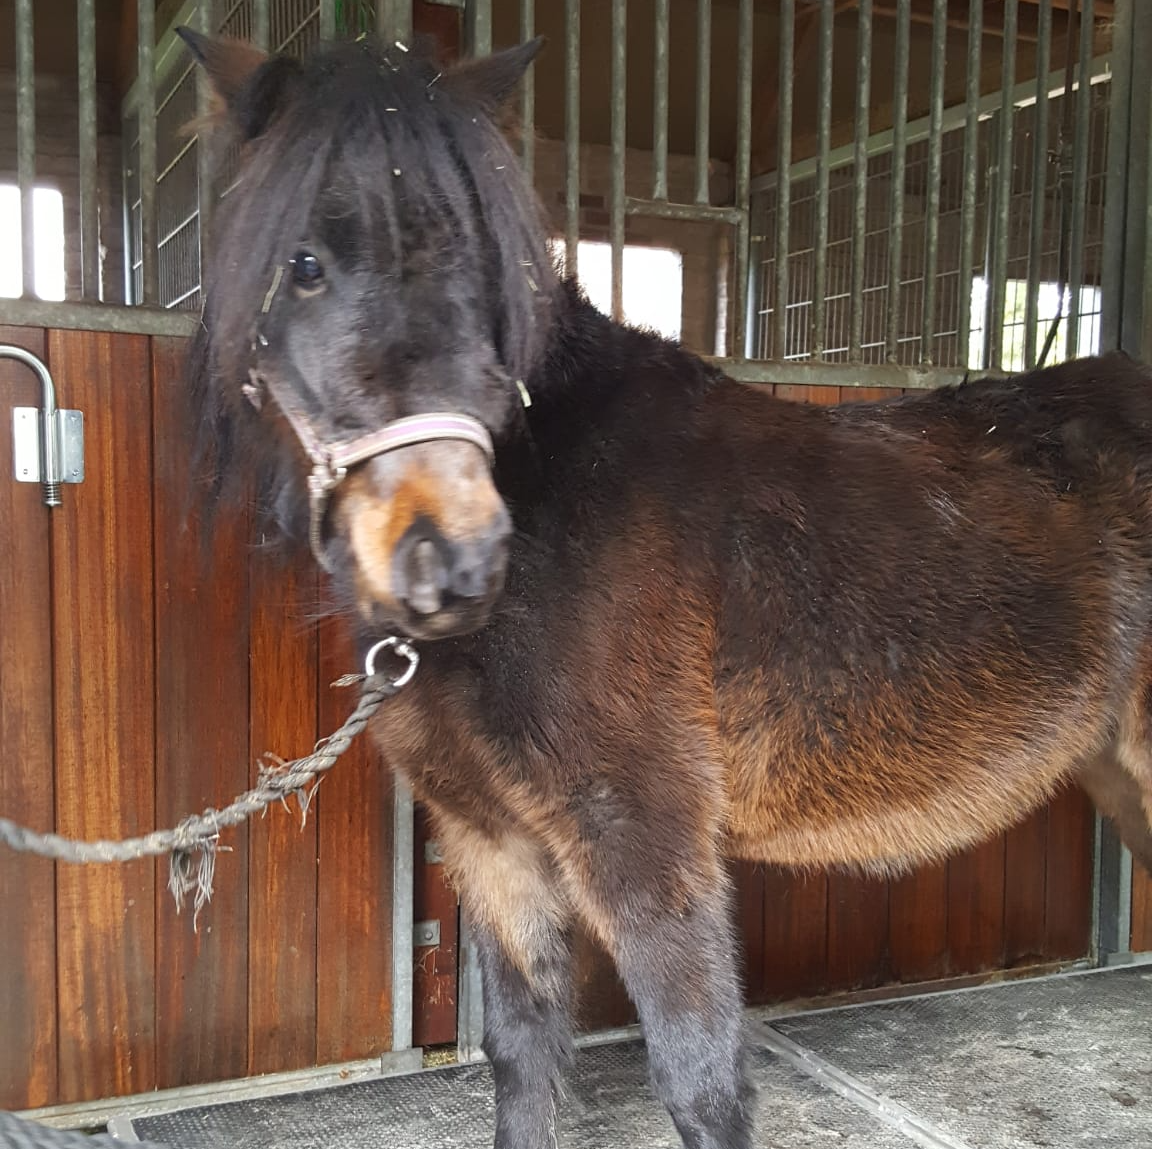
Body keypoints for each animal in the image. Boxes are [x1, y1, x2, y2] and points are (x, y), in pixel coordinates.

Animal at [177, 29, 1152, 1149]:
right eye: (302, 266)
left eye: (492, 267)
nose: (453, 561)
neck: (555, 505)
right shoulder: (492, 842)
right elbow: (522, 1051)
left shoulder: (641, 835)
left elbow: (698, 1081)